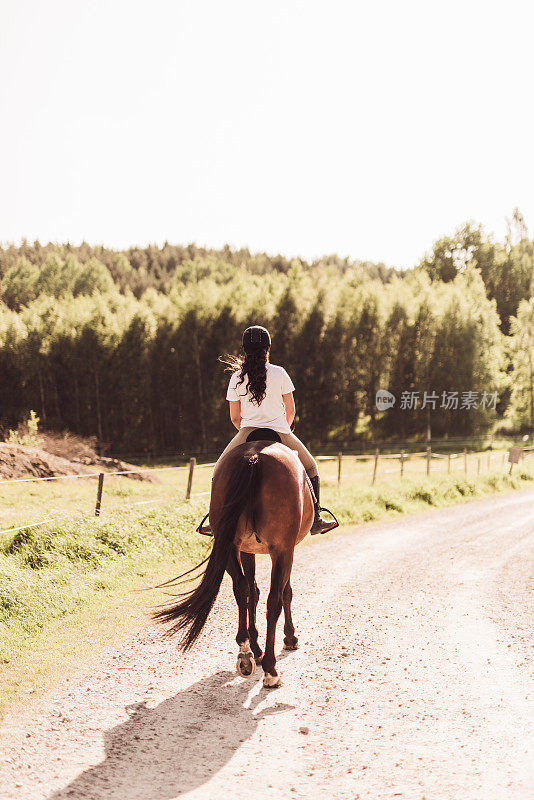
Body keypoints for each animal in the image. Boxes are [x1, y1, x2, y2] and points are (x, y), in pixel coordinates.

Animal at [153, 434, 316, 692]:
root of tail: (253, 456)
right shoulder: (286, 549)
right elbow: (284, 592)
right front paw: (290, 638)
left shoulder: (247, 549)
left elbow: (252, 591)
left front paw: (255, 648)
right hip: (280, 550)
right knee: (273, 600)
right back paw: (270, 670)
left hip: (229, 544)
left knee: (241, 589)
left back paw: (246, 654)